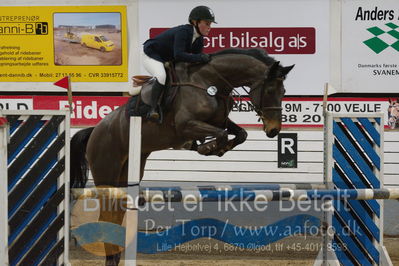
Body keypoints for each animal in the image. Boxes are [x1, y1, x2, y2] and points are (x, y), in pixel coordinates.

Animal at [69, 48, 294, 266]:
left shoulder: (220, 121)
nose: (274, 130)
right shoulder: (186, 125)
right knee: (106, 213)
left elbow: (240, 133)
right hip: (107, 170)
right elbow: (220, 134)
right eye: (270, 90)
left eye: (283, 92)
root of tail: (95, 130)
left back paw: (114, 256)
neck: (210, 81)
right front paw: (208, 147)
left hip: (130, 169)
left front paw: (218, 148)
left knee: (116, 212)